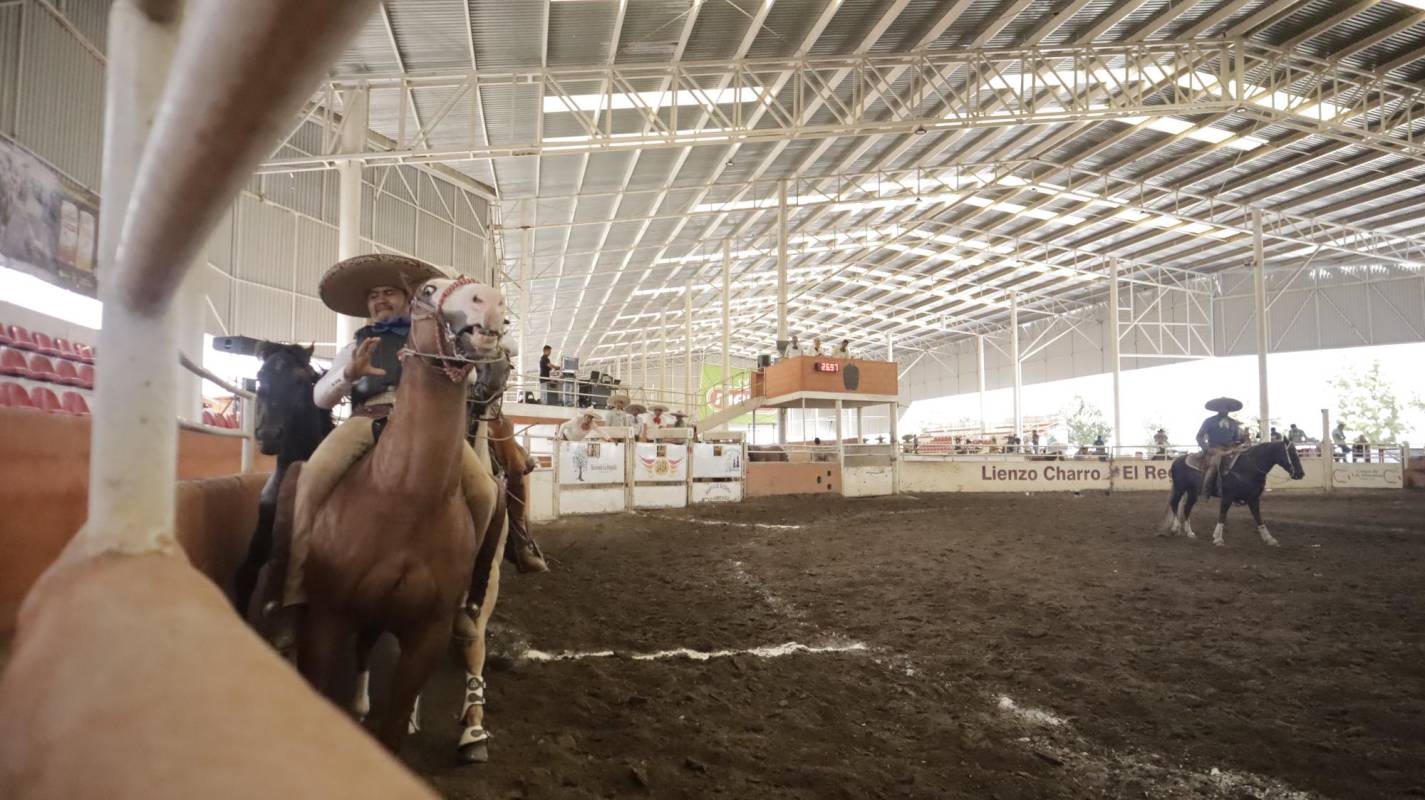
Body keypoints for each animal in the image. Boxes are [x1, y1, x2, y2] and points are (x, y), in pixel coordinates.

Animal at [275, 278, 504, 752]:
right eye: (428, 289)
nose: (490, 301)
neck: (402, 497)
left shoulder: (427, 634)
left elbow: (396, 722)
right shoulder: (325, 620)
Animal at [1157, 439, 1305, 544]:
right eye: (1292, 453)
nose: (1301, 474)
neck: (1248, 467)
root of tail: (1177, 460)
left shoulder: (1253, 499)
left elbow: (1258, 518)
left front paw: (1269, 538)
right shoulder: (1227, 497)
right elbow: (1222, 515)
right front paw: (1218, 538)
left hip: (1192, 492)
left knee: (1186, 508)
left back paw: (1189, 533)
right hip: (1180, 489)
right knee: (1175, 504)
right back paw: (1176, 527)